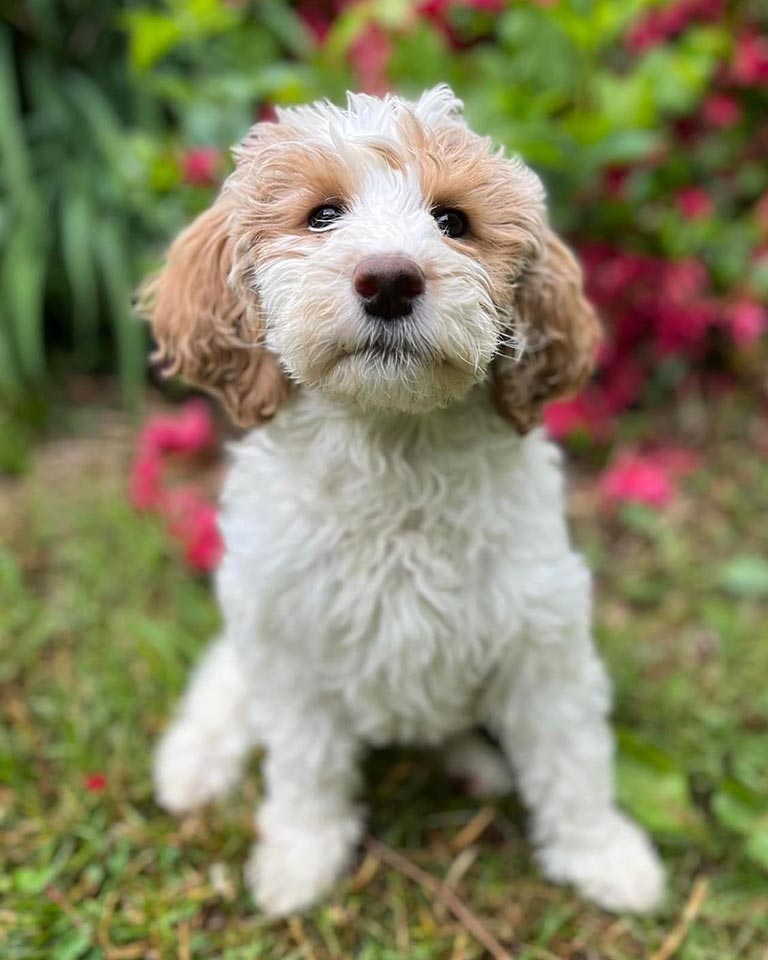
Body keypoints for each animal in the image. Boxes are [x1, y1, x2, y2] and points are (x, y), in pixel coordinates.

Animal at [140, 86, 664, 920]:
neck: (394, 450)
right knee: (224, 679)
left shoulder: (541, 638)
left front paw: (605, 856)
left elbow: (571, 757)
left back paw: (475, 763)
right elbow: (307, 762)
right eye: (323, 215)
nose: (389, 280)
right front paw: (299, 859)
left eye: (453, 221)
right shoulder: (290, 640)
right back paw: (192, 764)